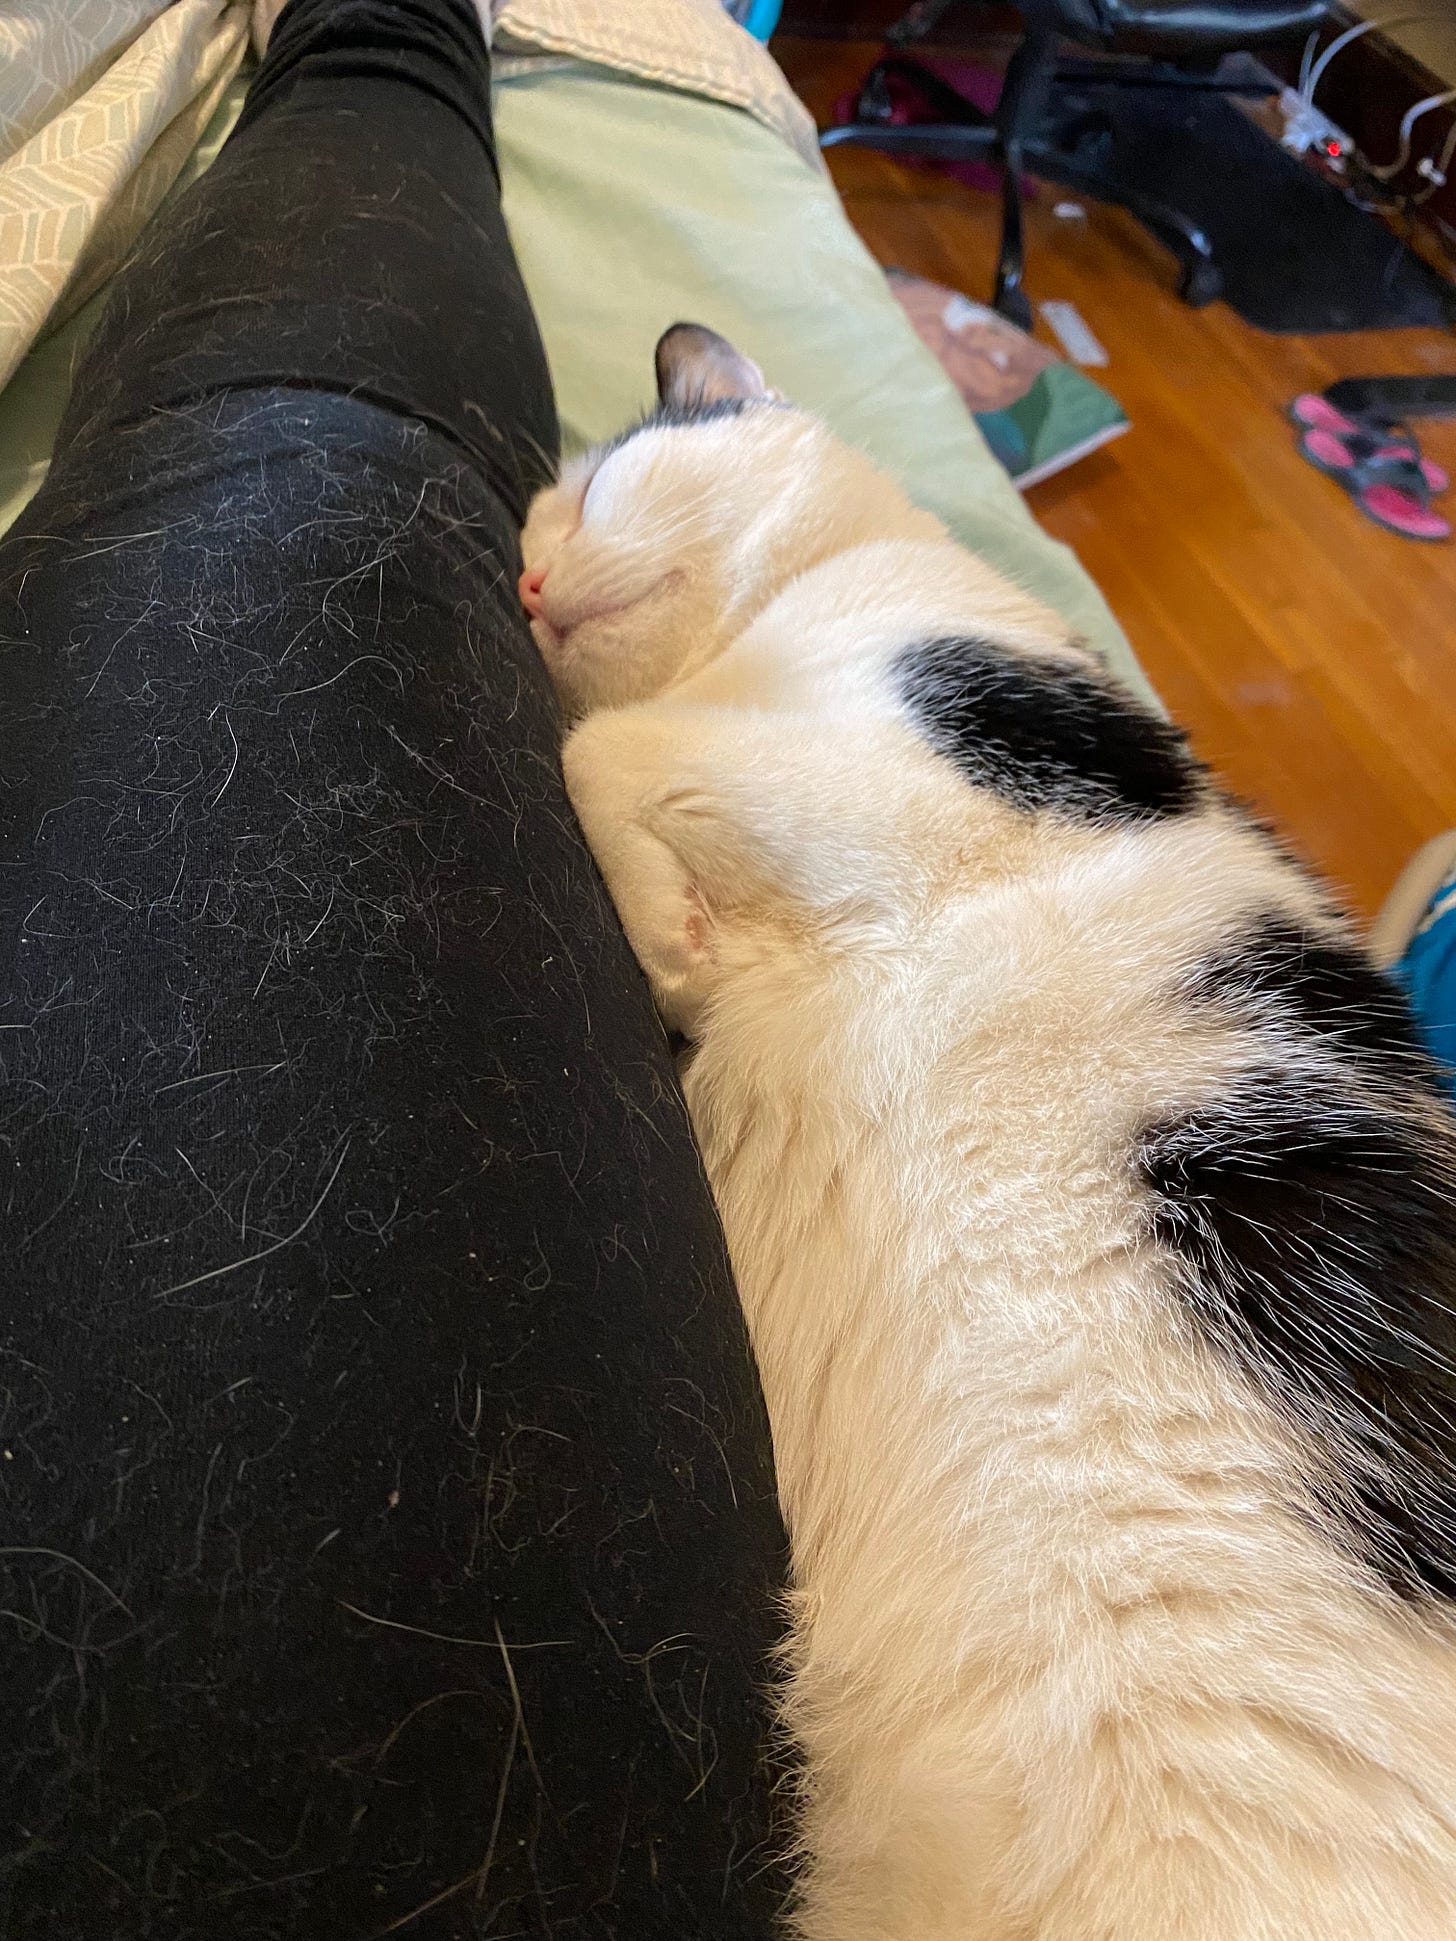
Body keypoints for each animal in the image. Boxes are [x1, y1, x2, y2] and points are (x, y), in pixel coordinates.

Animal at [520, 326, 1456, 1933]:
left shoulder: (921, 772)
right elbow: (627, 750)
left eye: (586, 493)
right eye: (527, 538)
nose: (519, 585)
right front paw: (680, 938)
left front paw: (669, 927)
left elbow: (622, 746)